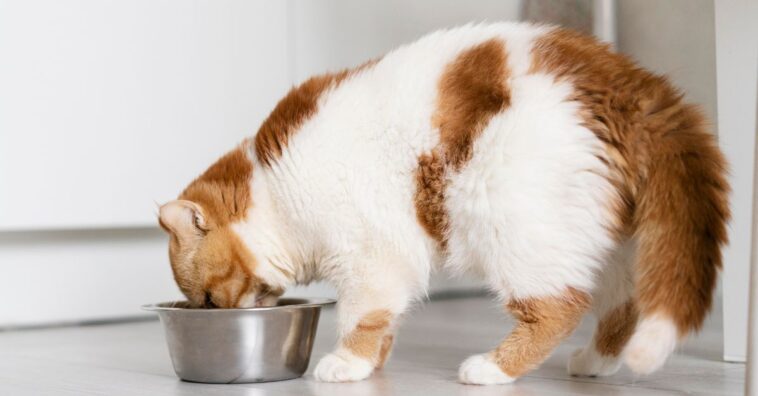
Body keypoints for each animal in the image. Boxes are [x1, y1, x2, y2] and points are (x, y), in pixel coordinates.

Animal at [159, 23, 732, 386]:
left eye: (207, 300)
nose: (222, 315)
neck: (278, 191)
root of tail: (628, 82)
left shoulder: (370, 255)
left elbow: (360, 317)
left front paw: (348, 363)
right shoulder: (387, 263)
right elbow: (385, 318)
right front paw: (375, 362)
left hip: (510, 223)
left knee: (561, 306)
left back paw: (493, 369)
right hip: (610, 241)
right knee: (623, 305)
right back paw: (596, 361)